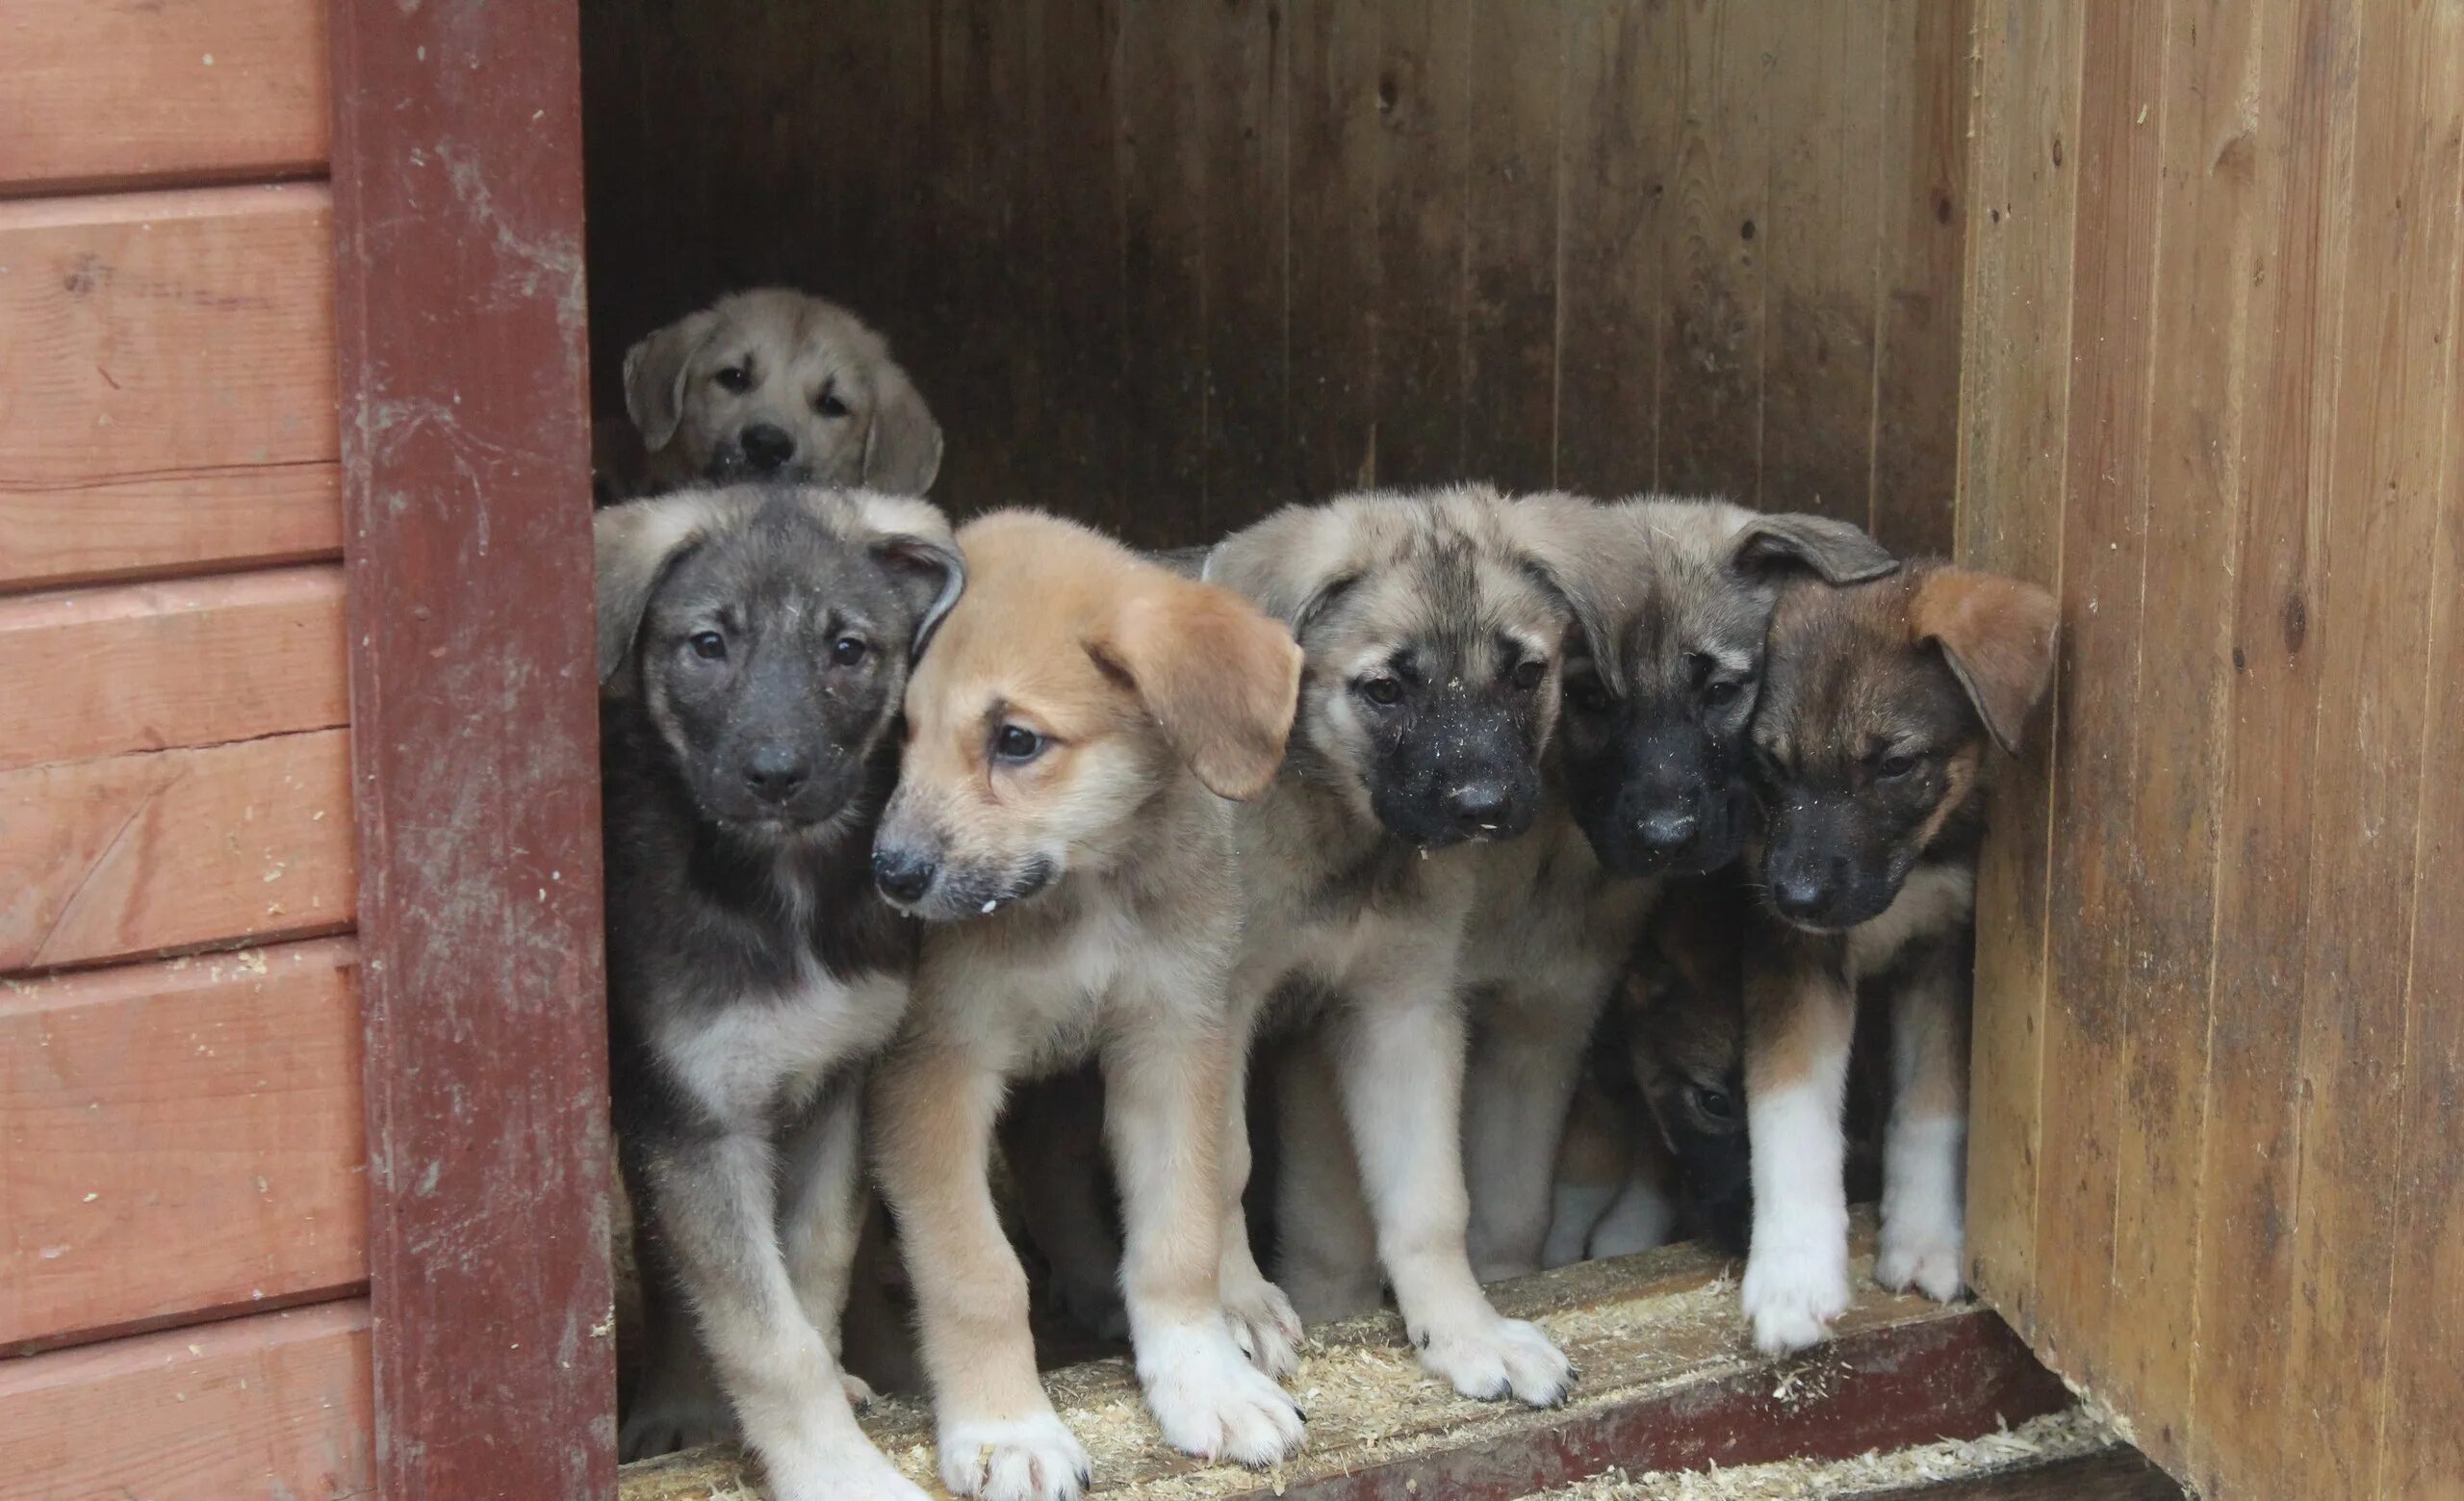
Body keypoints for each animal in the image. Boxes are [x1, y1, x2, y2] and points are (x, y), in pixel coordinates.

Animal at [601, 482, 965, 1498]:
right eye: (708, 643)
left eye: (847, 648)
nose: (775, 775)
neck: (786, 890)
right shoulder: (695, 1122)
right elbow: (763, 1334)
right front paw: (836, 1471)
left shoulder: (835, 1087)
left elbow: (813, 1269)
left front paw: (837, 1389)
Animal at [867, 509, 1310, 1488]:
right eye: (898, 735)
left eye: (1016, 741)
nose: (891, 875)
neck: (1082, 893)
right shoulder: (936, 1073)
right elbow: (977, 1271)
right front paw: (1007, 1429)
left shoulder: (1170, 1039)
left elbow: (1179, 1235)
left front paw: (1203, 1379)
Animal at [1202, 487, 1606, 1400]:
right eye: (1385, 688)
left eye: (1525, 673)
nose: (1484, 807)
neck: (1351, 847)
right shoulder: (1209, 1010)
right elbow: (1220, 1166)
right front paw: (1236, 1304)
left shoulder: (1403, 1007)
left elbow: (1430, 1197)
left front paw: (1465, 1331)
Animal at [1734, 556, 2060, 1350]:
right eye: (1769, 762)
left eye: (1893, 764)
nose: (1794, 895)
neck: (1910, 874)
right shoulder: (1792, 959)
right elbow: (1789, 1112)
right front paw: (1792, 1279)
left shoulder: (1944, 951)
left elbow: (1933, 1107)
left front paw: (1925, 1240)